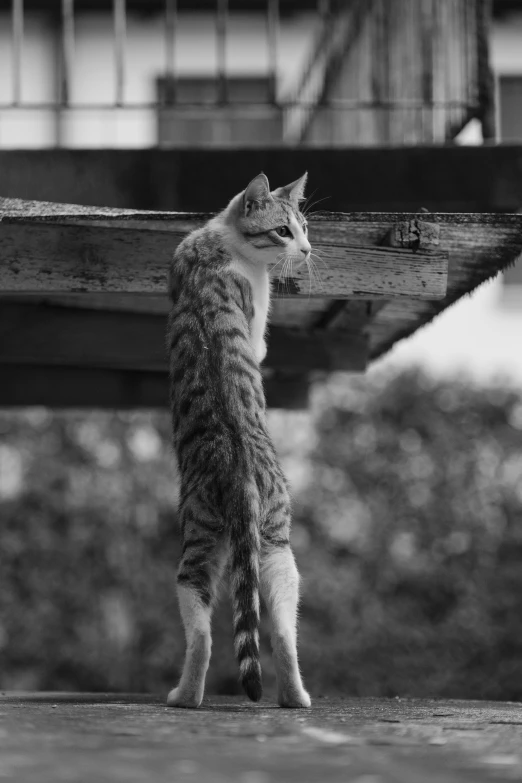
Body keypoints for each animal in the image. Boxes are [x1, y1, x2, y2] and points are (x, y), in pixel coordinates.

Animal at [167, 172, 310, 712]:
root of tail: (239, 462)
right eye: (283, 231)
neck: (220, 245)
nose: (307, 250)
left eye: (305, 226)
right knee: (231, 634)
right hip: (252, 543)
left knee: (240, 634)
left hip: (240, 544)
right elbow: (261, 342)